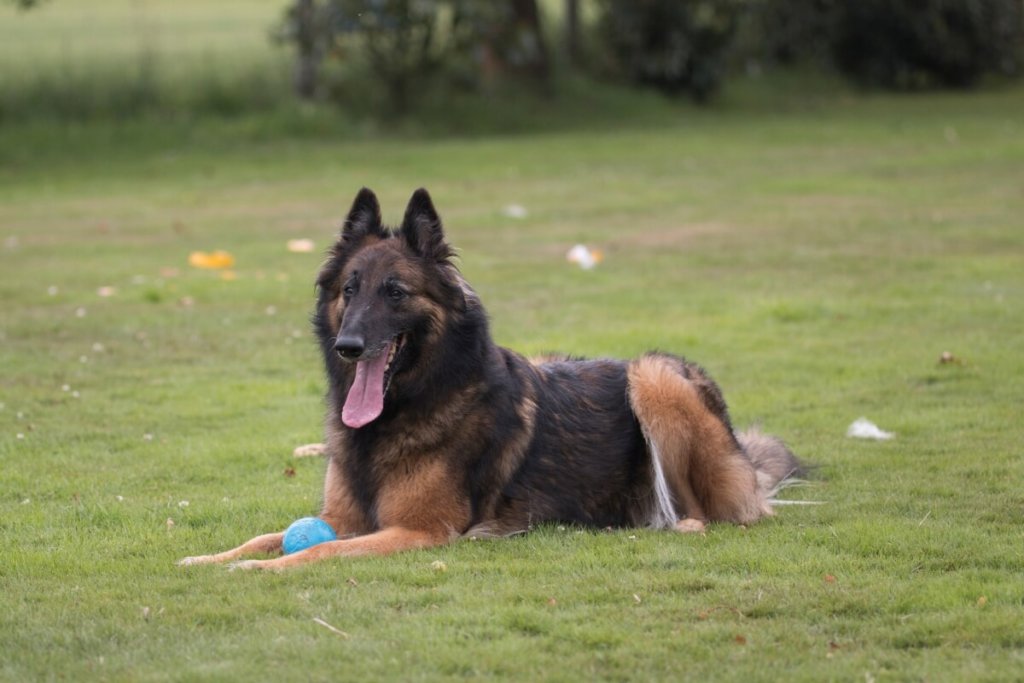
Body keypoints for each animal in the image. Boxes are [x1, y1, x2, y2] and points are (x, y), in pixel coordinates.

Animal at [180, 188, 802, 573]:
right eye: (349, 290)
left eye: (395, 292)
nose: (348, 346)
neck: (408, 406)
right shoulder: (341, 518)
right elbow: (267, 534)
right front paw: (210, 559)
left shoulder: (418, 531)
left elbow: (312, 552)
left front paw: (257, 569)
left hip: (656, 375)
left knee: (716, 510)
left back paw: (674, 523)